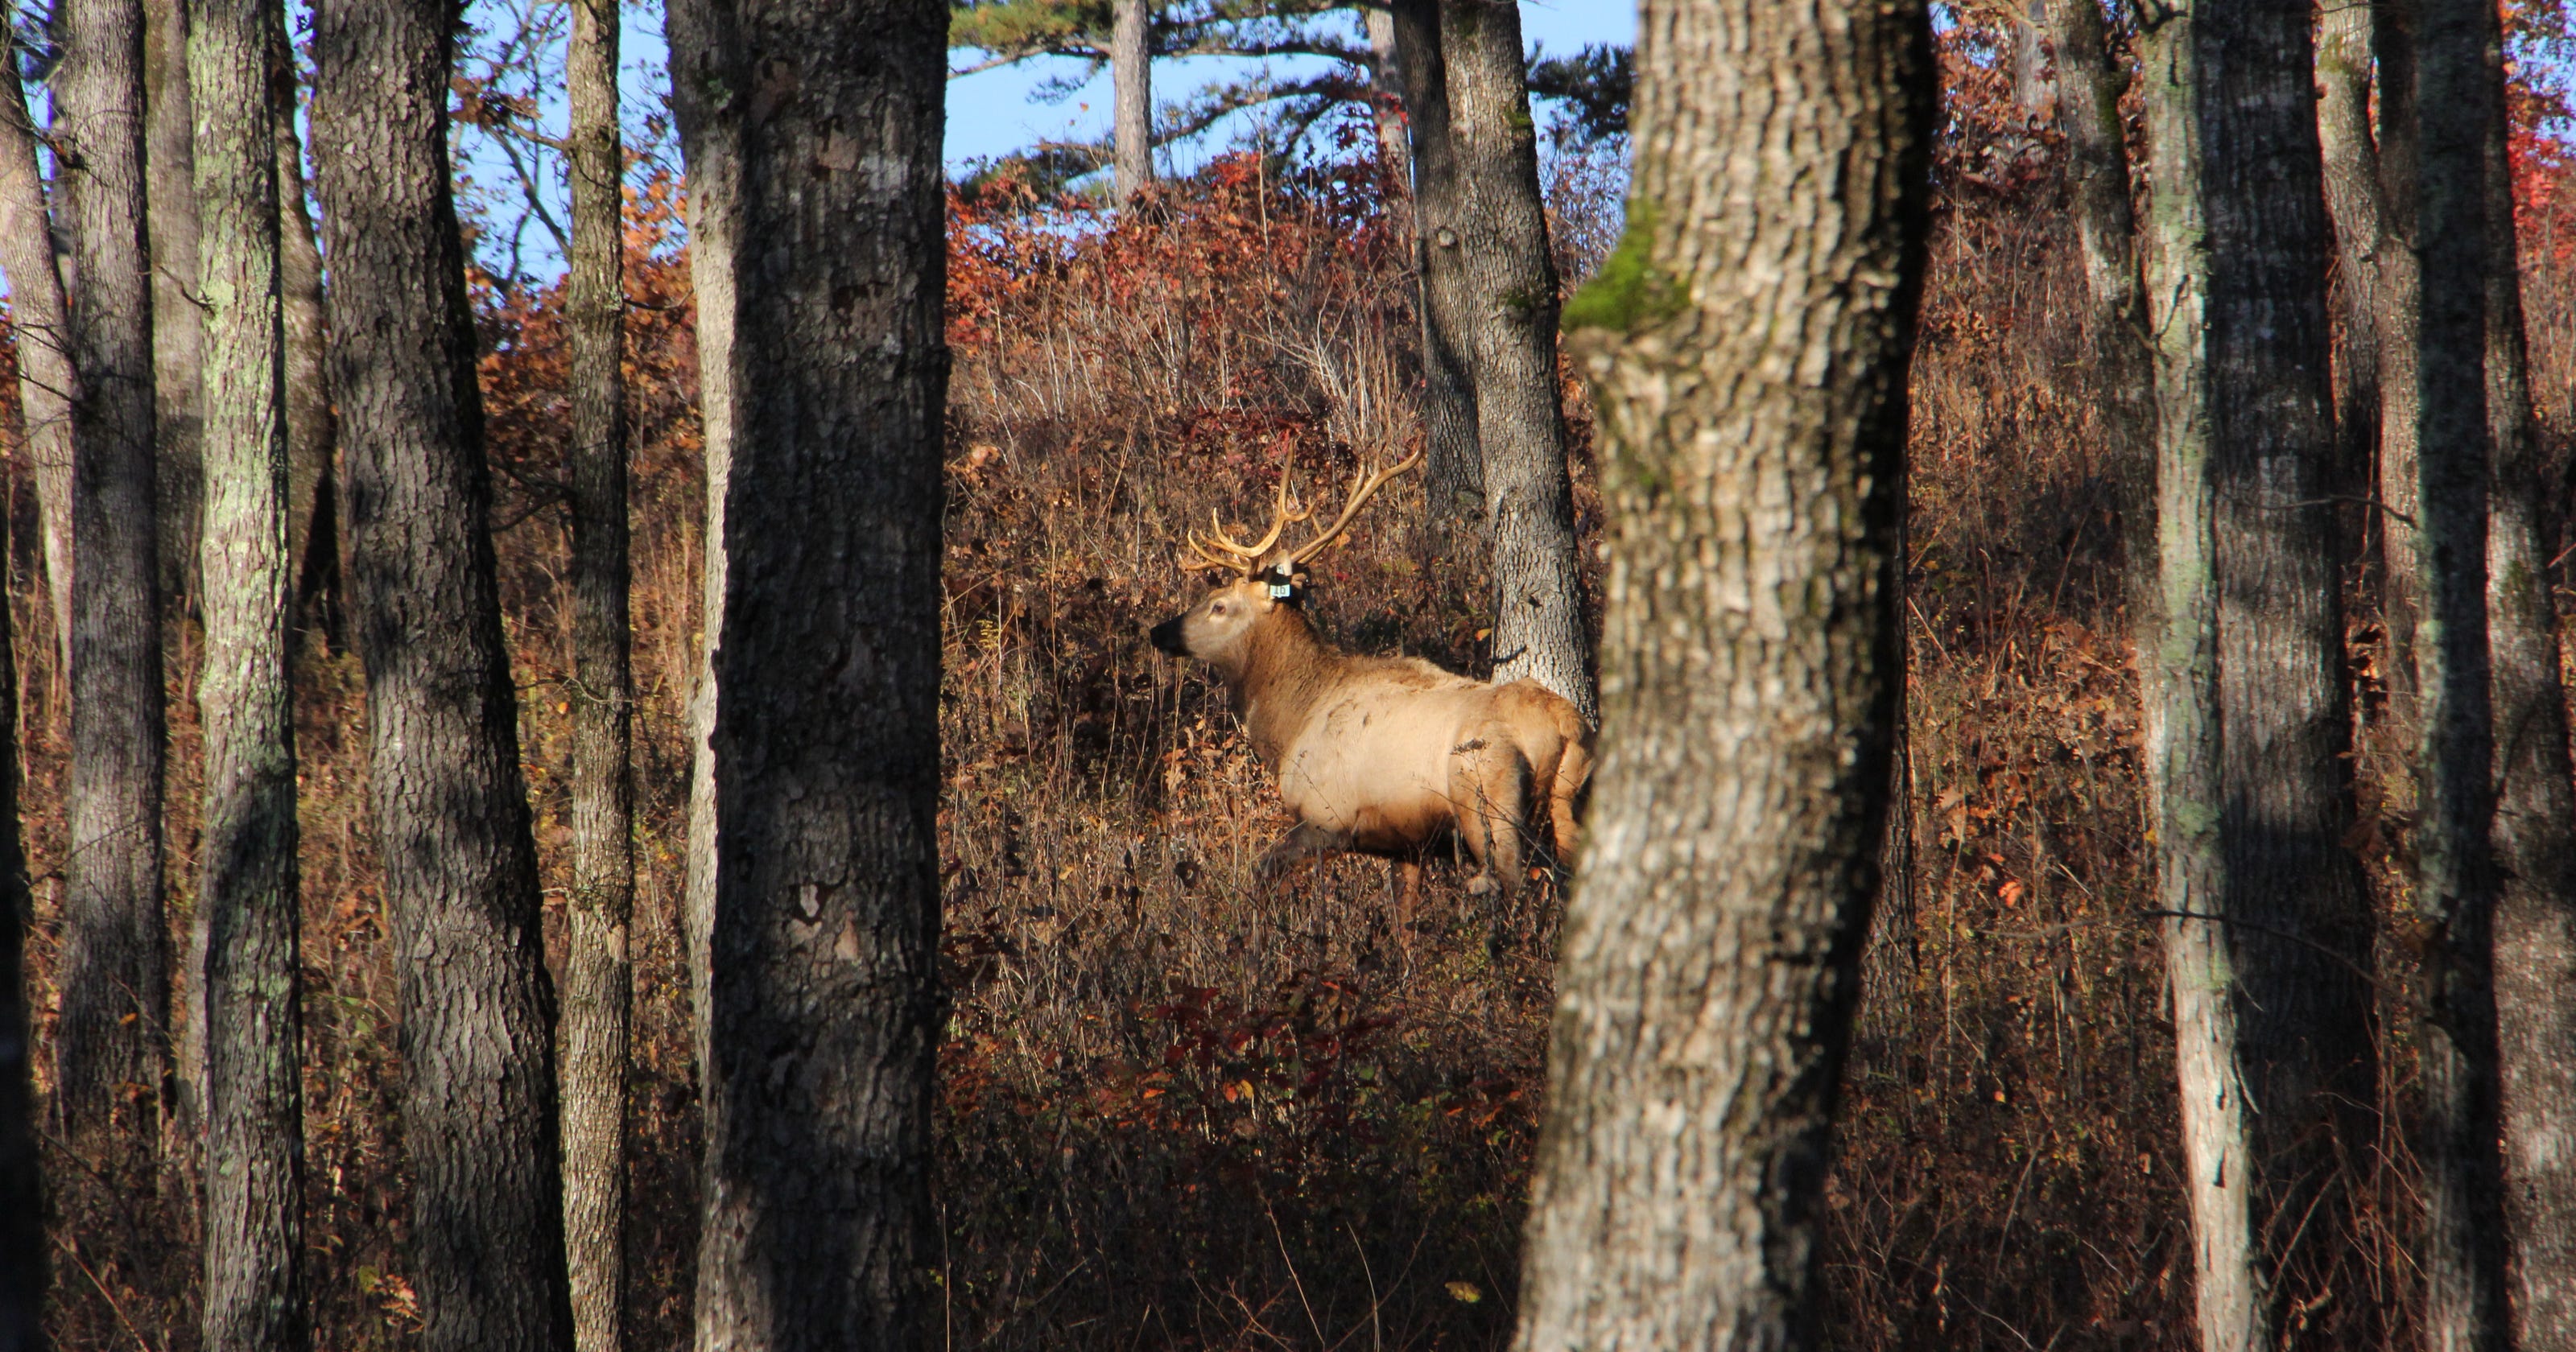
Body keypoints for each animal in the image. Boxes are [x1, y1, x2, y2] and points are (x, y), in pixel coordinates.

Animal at [1148, 448, 1593, 928]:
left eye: (1218, 605)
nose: (1158, 631)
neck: (1290, 725)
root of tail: (1565, 725)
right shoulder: (1407, 841)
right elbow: (1403, 922)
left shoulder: (1326, 816)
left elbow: (1262, 870)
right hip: (1570, 803)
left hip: (1490, 803)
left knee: (1517, 887)